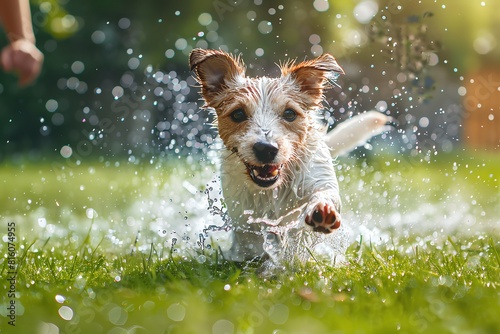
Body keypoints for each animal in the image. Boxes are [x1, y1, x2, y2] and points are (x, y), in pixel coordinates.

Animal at [189, 49, 392, 260]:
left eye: (289, 113)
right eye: (238, 114)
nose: (266, 148)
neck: (275, 189)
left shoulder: (318, 177)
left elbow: (324, 196)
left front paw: (322, 210)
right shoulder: (243, 216)